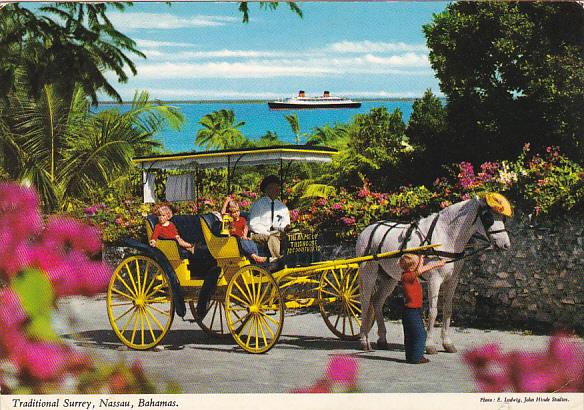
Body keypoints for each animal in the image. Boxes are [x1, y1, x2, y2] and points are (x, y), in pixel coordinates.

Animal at [354, 195, 508, 352]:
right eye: (488, 217)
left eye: (503, 218)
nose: (506, 244)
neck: (446, 235)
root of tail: (367, 230)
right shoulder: (434, 280)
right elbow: (433, 312)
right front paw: (429, 345)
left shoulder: (452, 281)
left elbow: (447, 310)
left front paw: (447, 343)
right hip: (368, 273)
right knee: (365, 303)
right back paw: (364, 340)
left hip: (390, 278)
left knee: (377, 301)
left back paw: (382, 339)